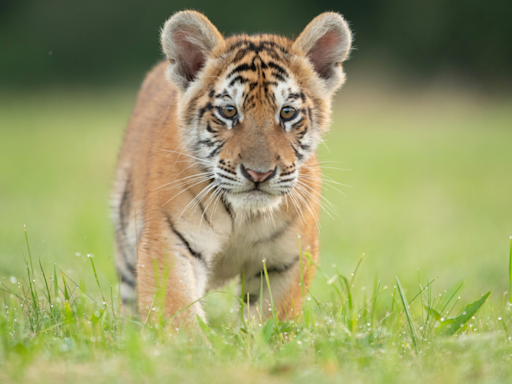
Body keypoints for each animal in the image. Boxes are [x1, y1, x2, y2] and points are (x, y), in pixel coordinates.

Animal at [112, 10, 352, 326]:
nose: (259, 174)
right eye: (229, 111)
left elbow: (273, 318)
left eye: (287, 113)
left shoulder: (287, 260)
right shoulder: (169, 244)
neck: (244, 217)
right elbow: (179, 315)